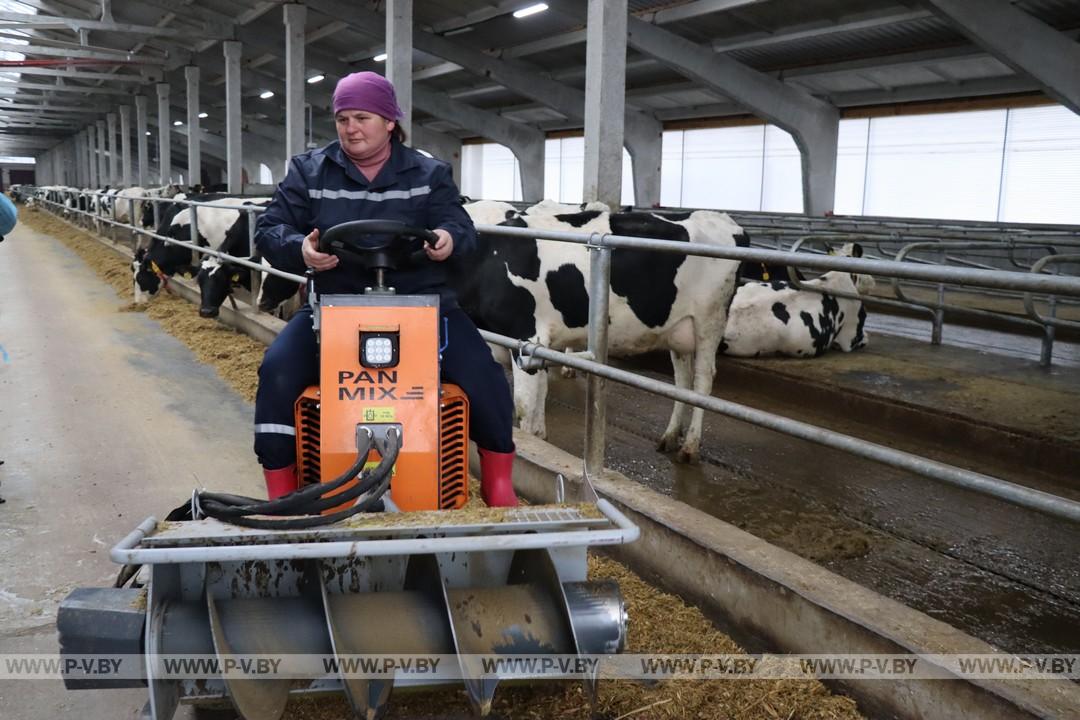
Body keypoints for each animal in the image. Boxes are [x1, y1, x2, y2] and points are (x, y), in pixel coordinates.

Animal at [453, 199, 743, 464]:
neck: (487, 262)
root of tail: (725, 220)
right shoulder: (538, 348)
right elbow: (538, 401)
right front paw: (542, 439)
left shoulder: (526, 338)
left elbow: (524, 406)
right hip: (678, 329)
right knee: (682, 381)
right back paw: (670, 436)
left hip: (710, 321)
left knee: (702, 380)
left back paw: (690, 446)